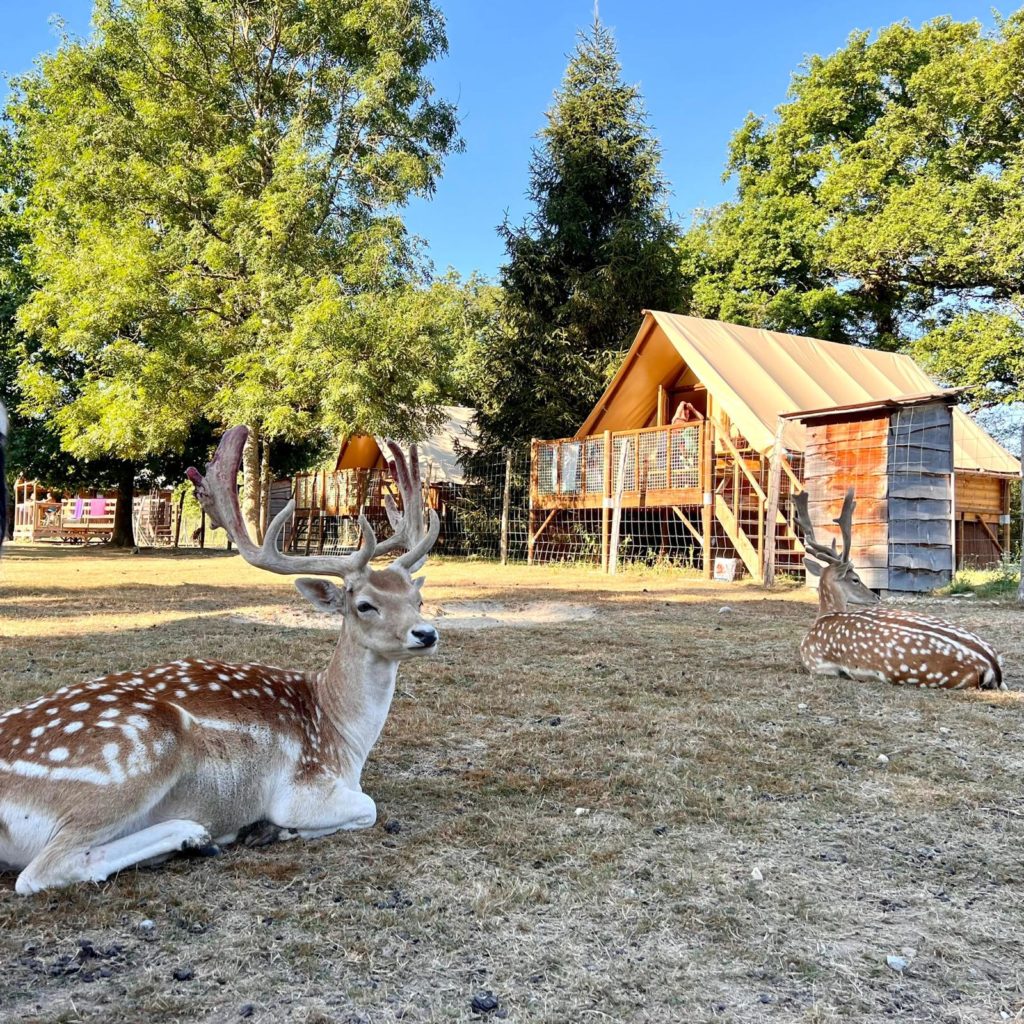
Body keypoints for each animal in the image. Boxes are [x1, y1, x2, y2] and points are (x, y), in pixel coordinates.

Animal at [0, 428, 440, 892]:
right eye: (365, 605)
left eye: (417, 599)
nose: (426, 633)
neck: (344, 739)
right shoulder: (302, 788)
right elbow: (368, 807)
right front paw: (274, 829)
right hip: (131, 756)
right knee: (43, 870)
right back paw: (197, 833)